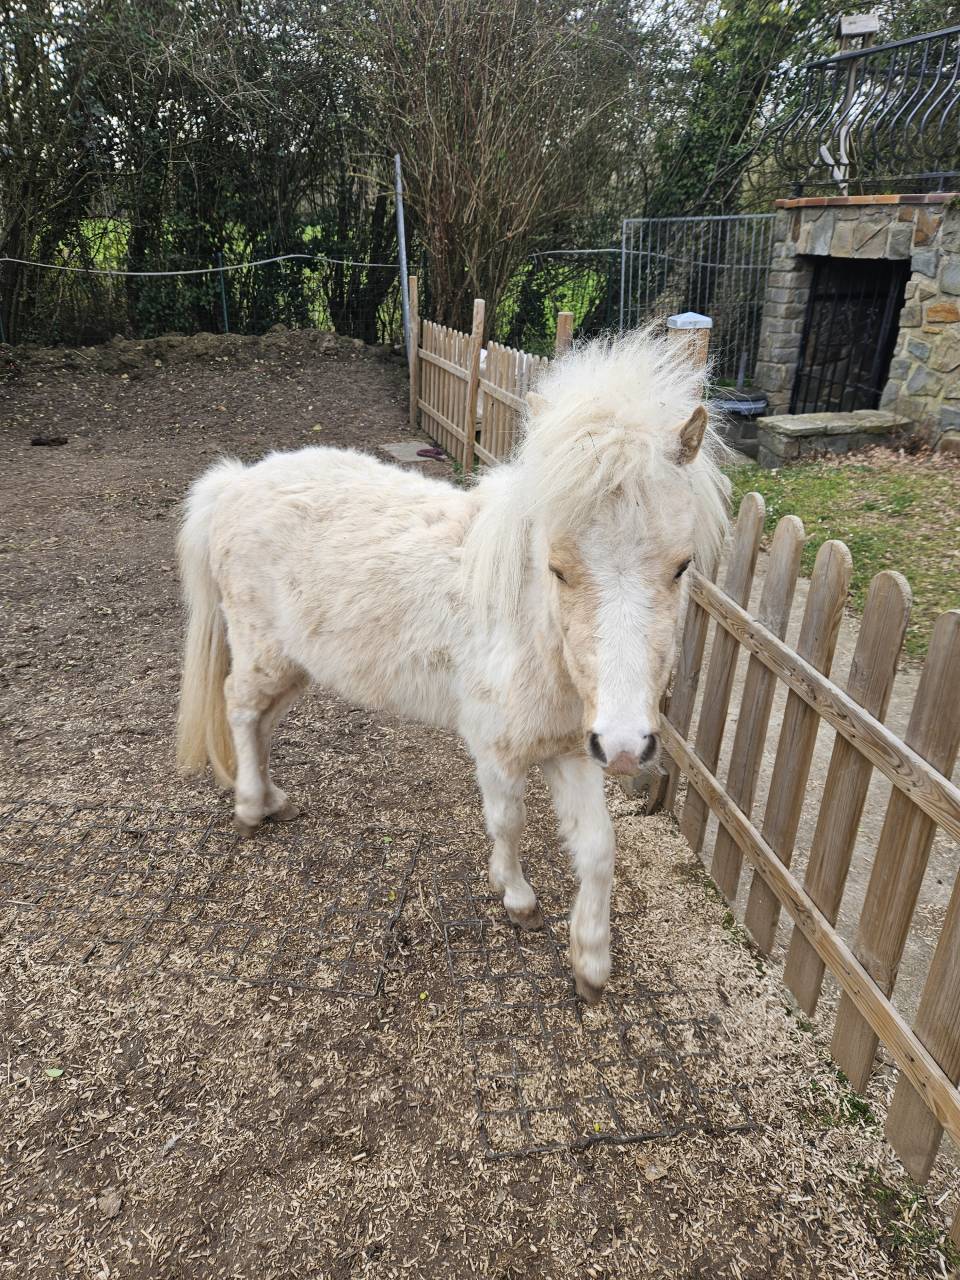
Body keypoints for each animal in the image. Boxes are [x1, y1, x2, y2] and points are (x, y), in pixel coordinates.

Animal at [175, 327, 729, 1001]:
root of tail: (233, 483)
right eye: (557, 567)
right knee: (238, 707)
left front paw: (591, 961)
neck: (531, 632)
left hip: (294, 665)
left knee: (260, 721)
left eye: (681, 567)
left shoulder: (573, 749)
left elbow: (599, 848)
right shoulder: (497, 748)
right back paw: (252, 807)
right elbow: (508, 821)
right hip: (263, 654)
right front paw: (518, 899)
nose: (628, 746)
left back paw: (275, 798)